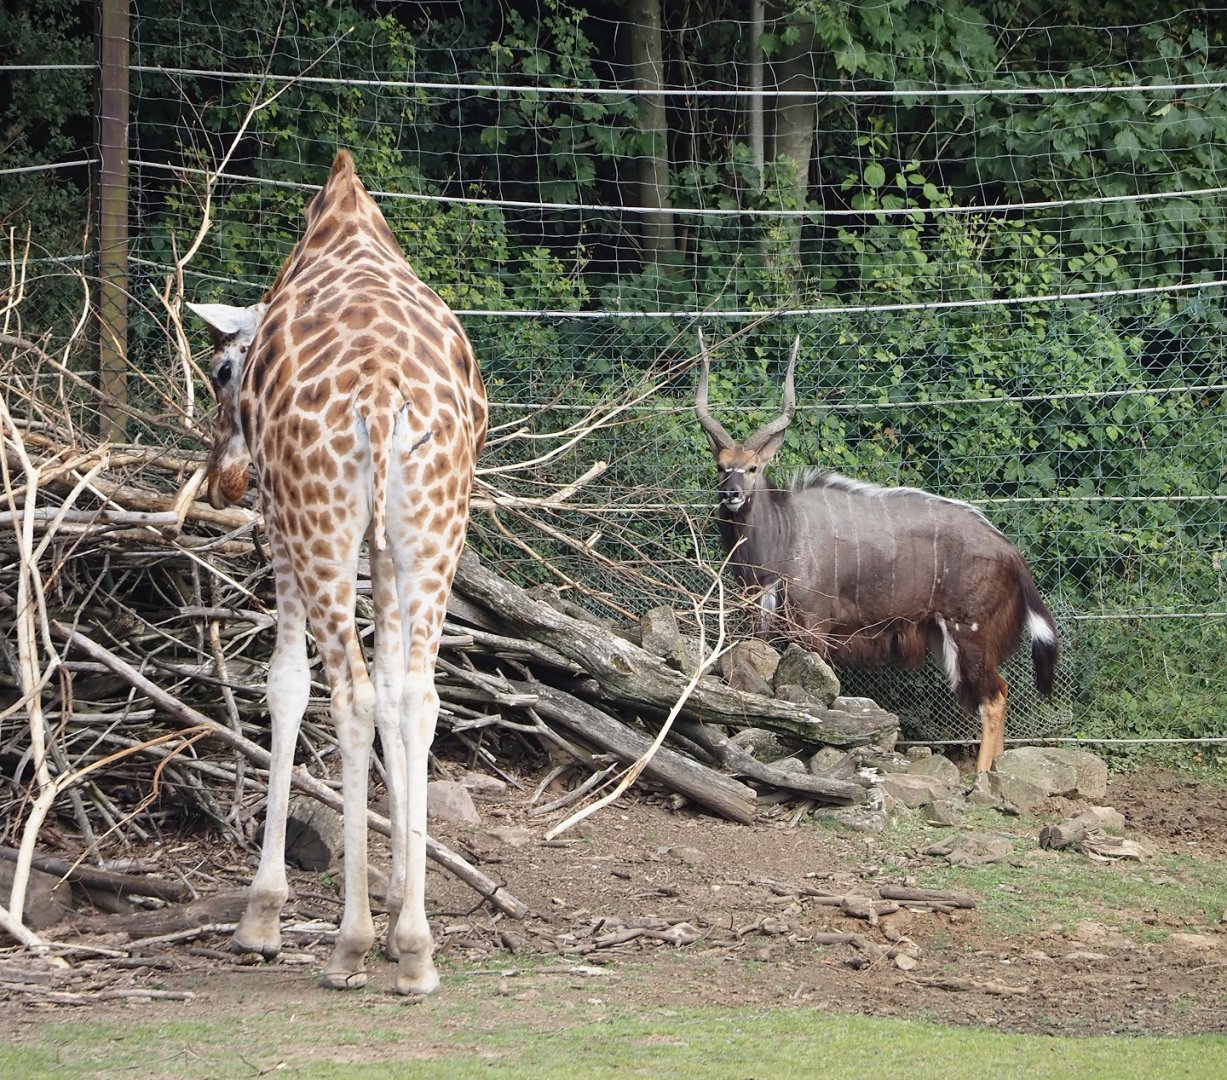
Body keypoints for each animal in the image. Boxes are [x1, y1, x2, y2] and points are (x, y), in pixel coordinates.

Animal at [187, 149, 487, 995]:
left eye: (221, 369)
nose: (222, 482)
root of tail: (383, 398)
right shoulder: (382, 547)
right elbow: (393, 686)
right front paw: (395, 905)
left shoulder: (284, 528)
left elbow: (285, 684)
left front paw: (262, 918)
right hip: (435, 527)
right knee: (416, 693)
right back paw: (414, 951)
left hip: (319, 524)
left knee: (347, 693)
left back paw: (346, 945)